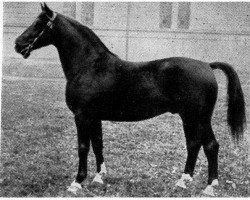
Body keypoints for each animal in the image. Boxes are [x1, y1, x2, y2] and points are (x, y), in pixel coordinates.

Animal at [15, 3, 246, 196]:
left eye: (39, 23)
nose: (18, 44)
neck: (90, 66)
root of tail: (207, 65)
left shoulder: (82, 116)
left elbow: (83, 147)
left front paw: (77, 182)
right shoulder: (94, 117)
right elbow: (98, 144)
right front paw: (99, 177)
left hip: (198, 118)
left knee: (210, 145)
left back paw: (209, 186)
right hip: (189, 118)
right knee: (194, 144)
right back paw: (183, 181)